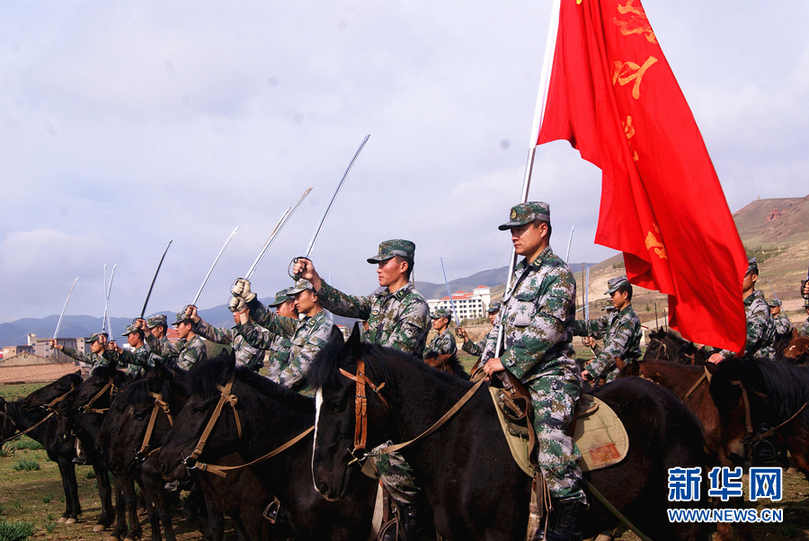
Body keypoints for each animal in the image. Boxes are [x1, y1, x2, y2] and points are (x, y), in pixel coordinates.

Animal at [0, 370, 116, 524]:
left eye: (59, 386)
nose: (27, 402)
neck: (51, 428)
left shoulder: (65, 461)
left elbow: (71, 486)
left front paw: (72, 516)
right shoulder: (61, 463)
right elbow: (66, 486)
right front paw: (67, 513)